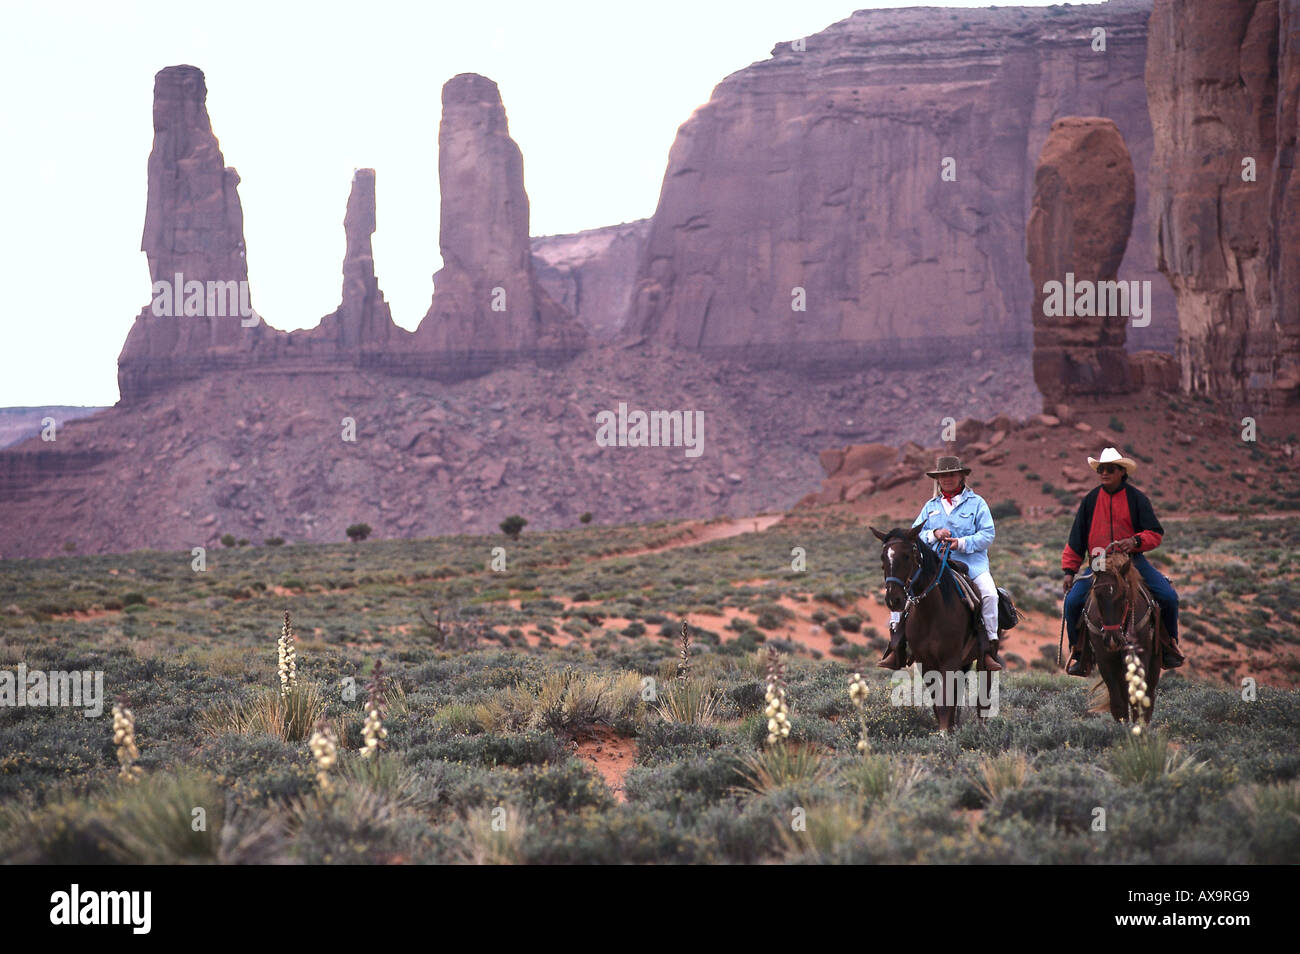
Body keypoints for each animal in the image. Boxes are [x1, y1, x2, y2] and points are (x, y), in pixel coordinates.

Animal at [873, 527, 993, 738]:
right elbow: (939, 700)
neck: (931, 613)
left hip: (983, 658)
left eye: (907, 556)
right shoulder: (926, 662)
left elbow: (946, 699)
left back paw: (982, 727)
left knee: (984, 690)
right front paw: (944, 730)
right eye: (883, 557)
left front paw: (944, 734)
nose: (893, 600)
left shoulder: (950, 660)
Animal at [1081, 548, 1164, 727]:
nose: (1112, 639)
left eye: (1123, 594)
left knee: (1149, 694)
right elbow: (1118, 703)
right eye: (1097, 593)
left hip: (1154, 661)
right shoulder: (1105, 659)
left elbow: (1138, 698)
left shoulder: (1140, 656)